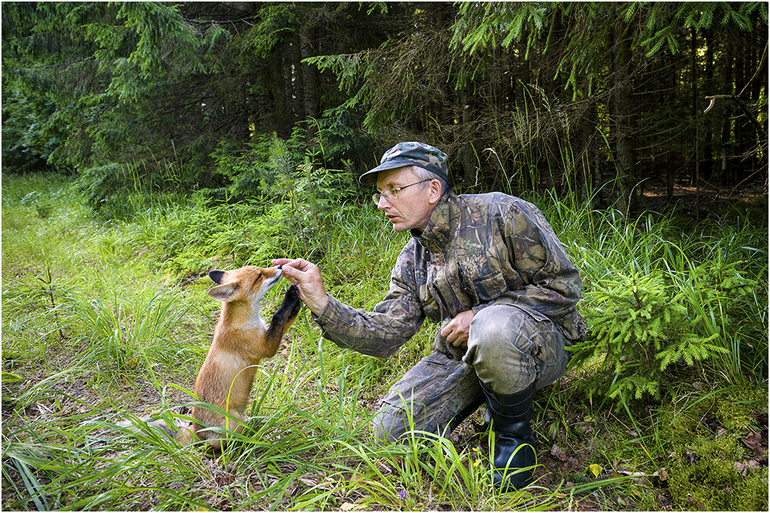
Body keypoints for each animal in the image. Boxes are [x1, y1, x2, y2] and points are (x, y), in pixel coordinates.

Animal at [179, 264, 300, 448]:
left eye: (261, 269)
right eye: (259, 276)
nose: (279, 266)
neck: (241, 322)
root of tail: (196, 430)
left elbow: (286, 320)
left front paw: (296, 304)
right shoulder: (265, 348)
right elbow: (278, 317)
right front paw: (290, 298)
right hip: (235, 423)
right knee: (217, 445)